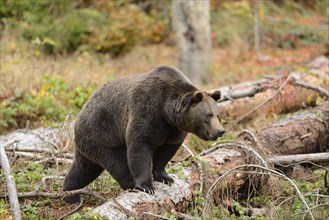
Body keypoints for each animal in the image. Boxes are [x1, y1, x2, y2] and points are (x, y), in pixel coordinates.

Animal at [62, 64, 224, 202]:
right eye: (208, 115)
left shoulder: (173, 129)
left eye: (218, 115)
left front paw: (165, 177)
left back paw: (69, 192)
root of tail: (80, 115)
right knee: (117, 162)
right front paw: (147, 186)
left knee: (83, 169)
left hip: (89, 144)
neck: (166, 112)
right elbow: (140, 144)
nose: (220, 131)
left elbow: (167, 150)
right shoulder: (147, 109)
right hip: (103, 134)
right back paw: (130, 184)